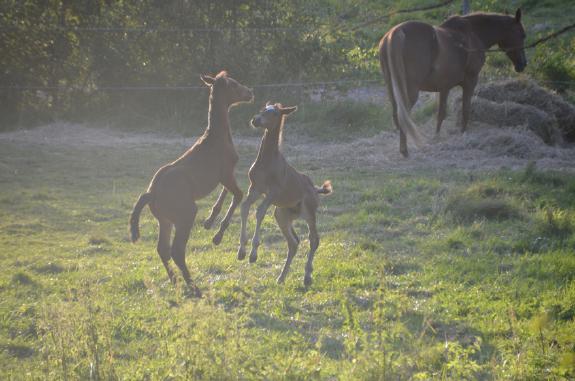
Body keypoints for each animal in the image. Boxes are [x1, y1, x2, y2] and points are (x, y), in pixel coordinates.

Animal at [133, 72, 254, 296]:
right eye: (234, 85)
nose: (250, 92)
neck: (215, 138)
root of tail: (151, 193)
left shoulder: (225, 176)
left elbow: (226, 194)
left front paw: (209, 221)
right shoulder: (226, 173)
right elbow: (238, 195)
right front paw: (217, 235)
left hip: (165, 220)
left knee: (162, 249)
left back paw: (175, 281)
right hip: (186, 215)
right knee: (176, 251)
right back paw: (193, 287)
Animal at [236, 102, 330, 286]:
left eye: (275, 114)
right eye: (262, 110)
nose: (256, 120)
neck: (266, 162)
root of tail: (315, 189)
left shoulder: (273, 192)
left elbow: (259, 212)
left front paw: (253, 253)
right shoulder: (255, 188)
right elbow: (245, 208)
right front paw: (242, 251)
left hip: (308, 211)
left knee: (314, 240)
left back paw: (307, 276)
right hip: (281, 214)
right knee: (293, 243)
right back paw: (281, 277)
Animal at [380, 9, 528, 157]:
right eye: (522, 35)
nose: (523, 64)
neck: (473, 35)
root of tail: (395, 33)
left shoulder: (444, 87)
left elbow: (441, 113)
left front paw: (437, 137)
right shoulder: (470, 81)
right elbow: (465, 109)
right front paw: (462, 133)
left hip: (392, 88)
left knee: (396, 114)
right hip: (410, 91)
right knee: (403, 115)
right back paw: (404, 150)